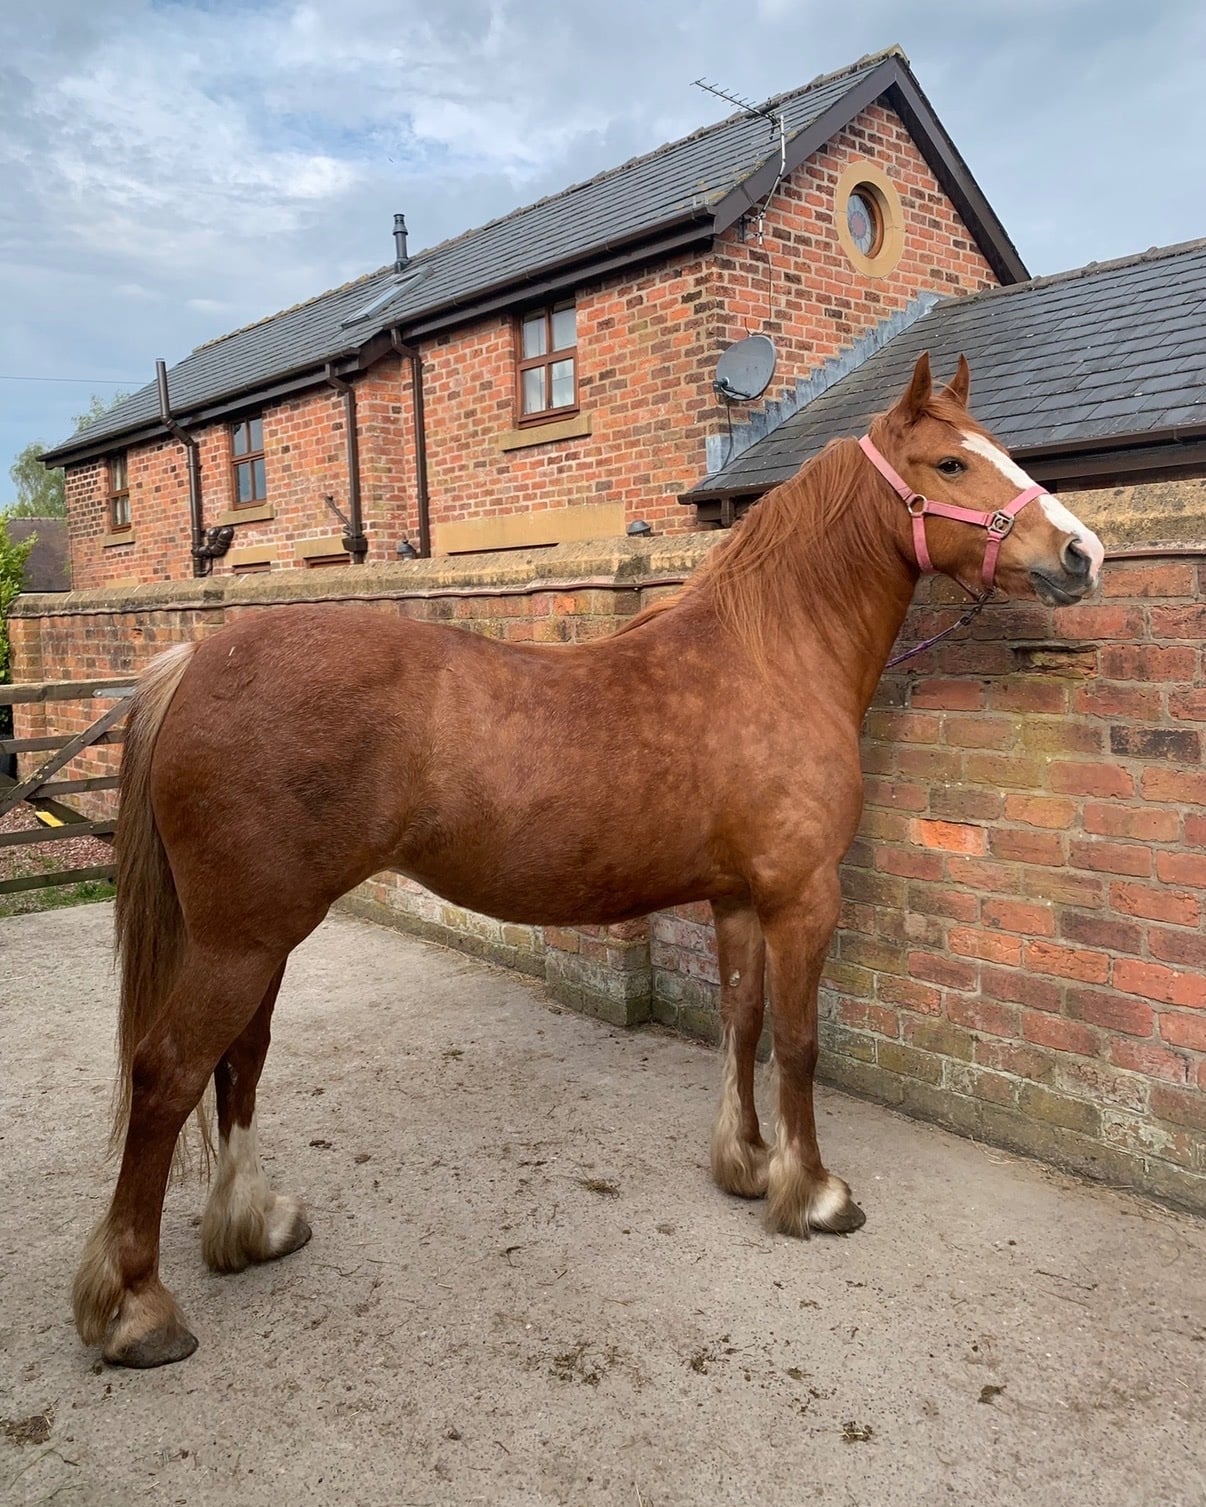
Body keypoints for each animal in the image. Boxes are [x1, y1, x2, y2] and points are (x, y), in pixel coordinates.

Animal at [72, 353, 1104, 1367]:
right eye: (951, 464)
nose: (1081, 553)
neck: (769, 655)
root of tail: (190, 663)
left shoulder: (739, 900)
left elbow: (742, 1023)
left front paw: (746, 1163)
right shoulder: (803, 897)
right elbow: (801, 1041)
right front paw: (812, 1191)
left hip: (263, 937)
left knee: (238, 1063)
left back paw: (253, 1228)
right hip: (240, 940)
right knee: (167, 1073)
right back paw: (138, 1308)